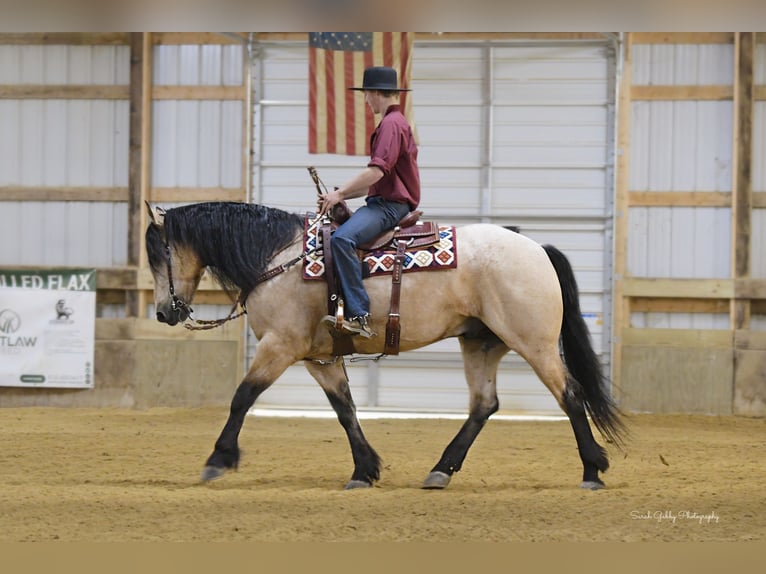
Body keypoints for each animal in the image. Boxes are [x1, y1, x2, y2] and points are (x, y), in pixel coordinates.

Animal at [144, 201, 624, 490]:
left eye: (156, 253)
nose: (164, 313)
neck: (279, 259)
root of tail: (537, 249)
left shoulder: (280, 347)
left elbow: (242, 397)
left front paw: (218, 458)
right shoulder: (319, 357)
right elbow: (345, 410)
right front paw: (364, 469)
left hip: (534, 343)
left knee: (570, 395)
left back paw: (592, 470)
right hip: (480, 344)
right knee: (484, 405)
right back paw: (440, 470)